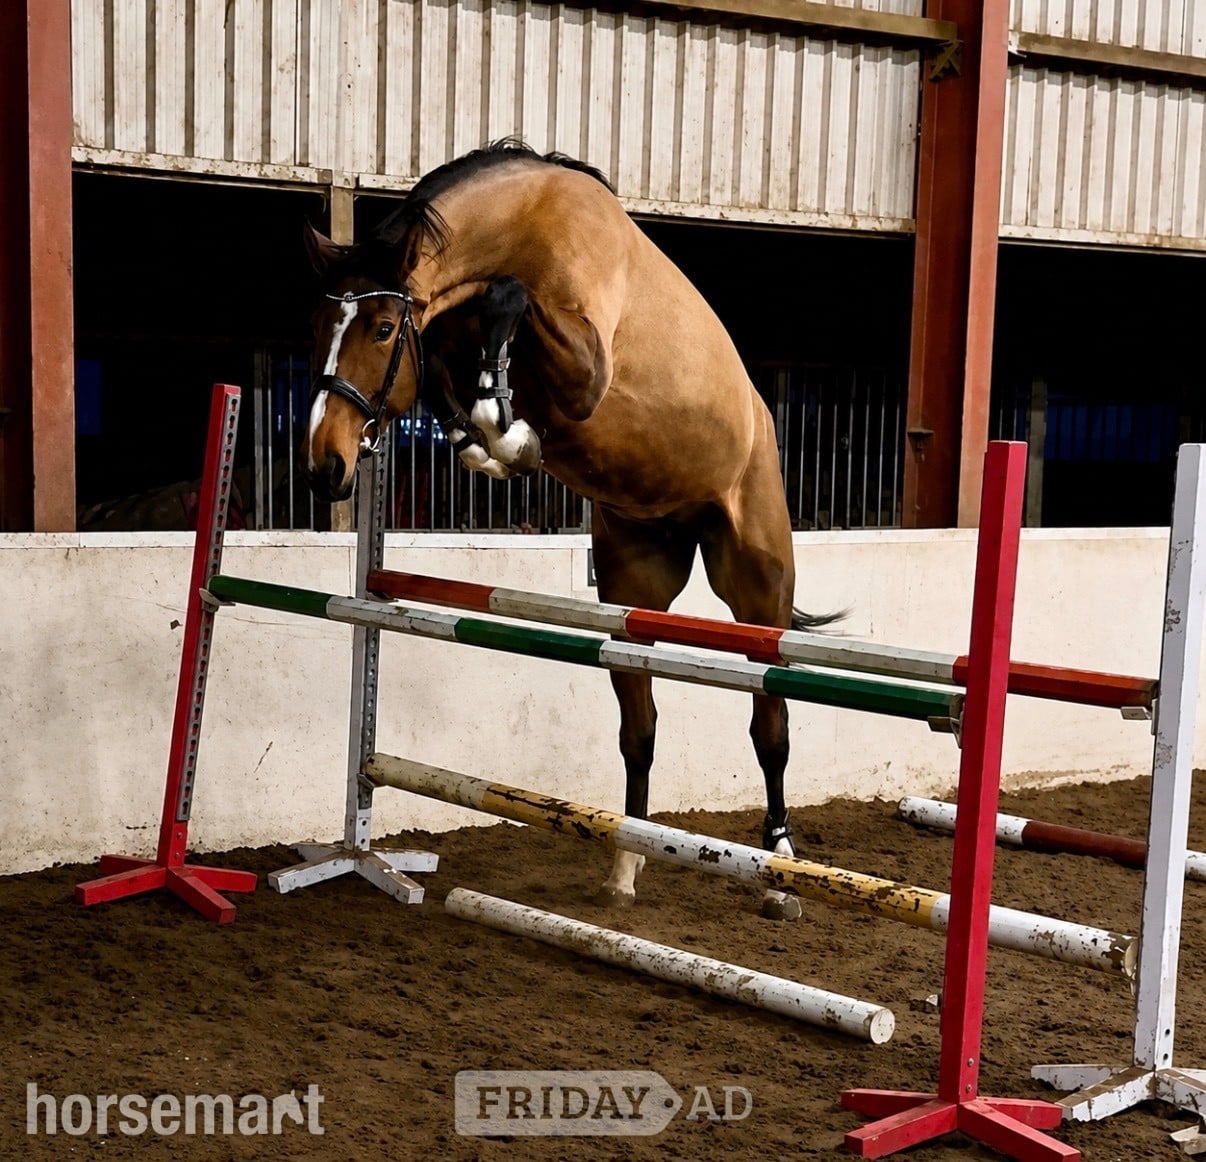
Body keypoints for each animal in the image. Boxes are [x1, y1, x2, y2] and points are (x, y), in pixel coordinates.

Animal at [300, 139, 839, 920]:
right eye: (317, 329)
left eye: (380, 329)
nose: (324, 466)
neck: (524, 227)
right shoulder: (449, 342)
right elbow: (456, 388)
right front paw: (497, 436)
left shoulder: (584, 365)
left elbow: (509, 300)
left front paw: (506, 428)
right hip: (632, 592)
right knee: (640, 727)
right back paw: (628, 861)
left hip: (757, 584)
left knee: (770, 723)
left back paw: (779, 864)